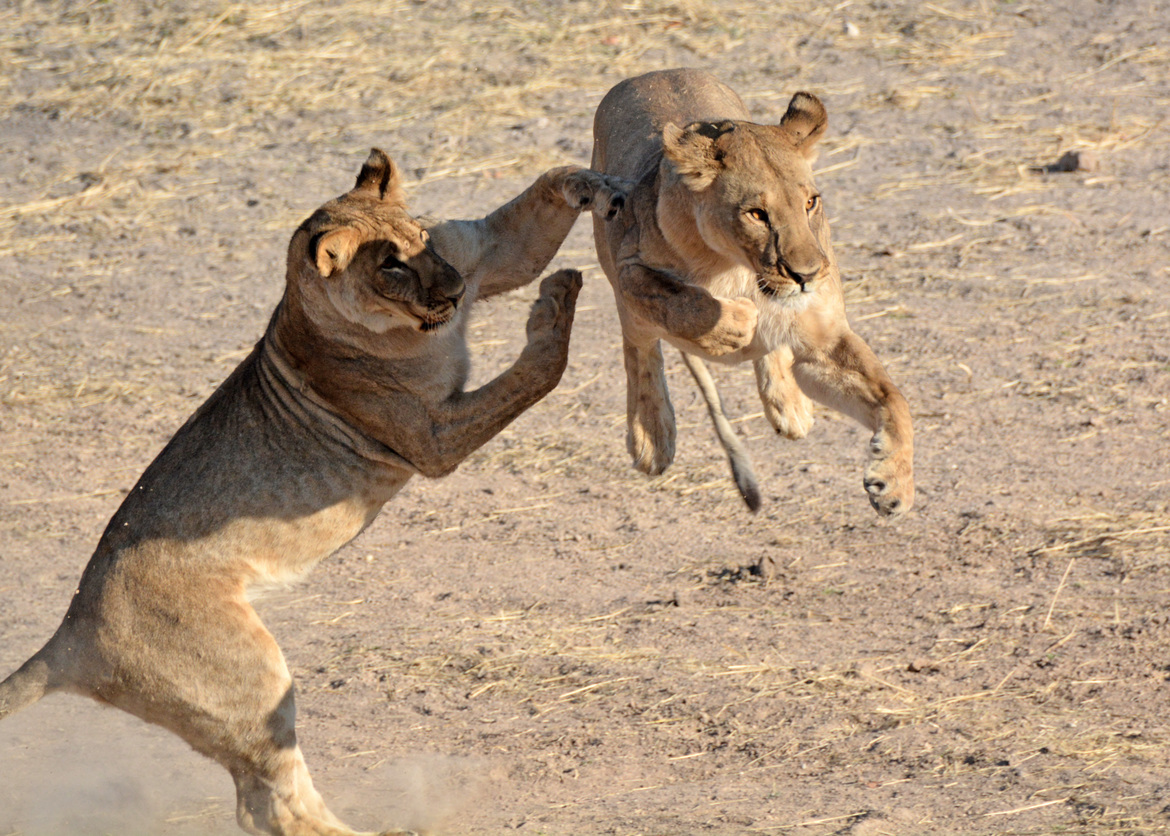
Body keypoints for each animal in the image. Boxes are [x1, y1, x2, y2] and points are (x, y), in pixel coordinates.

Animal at [0, 149, 626, 836]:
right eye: (390, 267)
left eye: (423, 236)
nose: (457, 291)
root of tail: (70, 635)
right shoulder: (433, 438)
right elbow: (540, 371)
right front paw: (555, 303)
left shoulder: (481, 251)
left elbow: (530, 219)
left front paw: (594, 185)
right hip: (250, 680)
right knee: (272, 803)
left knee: (262, 803)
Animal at [591, 68, 914, 515]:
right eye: (757, 214)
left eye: (810, 202)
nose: (807, 275)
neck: (740, 270)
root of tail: (654, 73)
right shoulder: (630, 269)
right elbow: (682, 303)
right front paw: (734, 325)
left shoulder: (824, 341)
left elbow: (893, 398)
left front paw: (894, 483)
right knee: (640, 349)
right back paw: (652, 436)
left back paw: (790, 406)